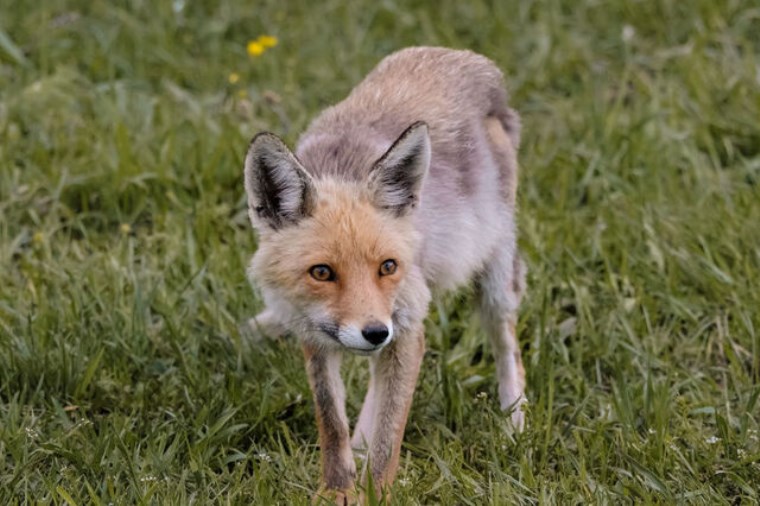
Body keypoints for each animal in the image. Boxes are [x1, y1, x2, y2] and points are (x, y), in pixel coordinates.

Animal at [245, 46, 528, 502]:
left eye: (388, 266)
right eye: (321, 272)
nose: (374, 333)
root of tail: (470, 59)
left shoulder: (408, 328)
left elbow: (389, 436)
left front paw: (376, 493)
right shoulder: (314, 334)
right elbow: (332, 424)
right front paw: (338, 489)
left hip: (494, 279)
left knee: (508, 348)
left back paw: (514, 425)